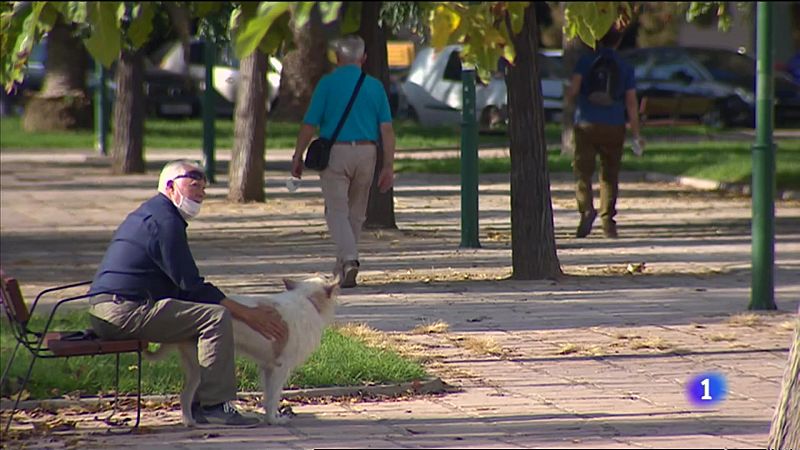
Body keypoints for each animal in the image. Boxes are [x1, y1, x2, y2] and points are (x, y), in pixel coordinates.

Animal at [145, 274, 340, 426]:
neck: (308, 300)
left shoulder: (267, 367)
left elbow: (267, 397)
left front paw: (270, 418)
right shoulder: (280, 368)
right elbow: (273, 397)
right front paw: (274, 420)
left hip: (195, 369)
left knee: (185, 395)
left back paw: (191, 421)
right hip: (202, 367)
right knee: (186, 395)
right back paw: (192, 422)